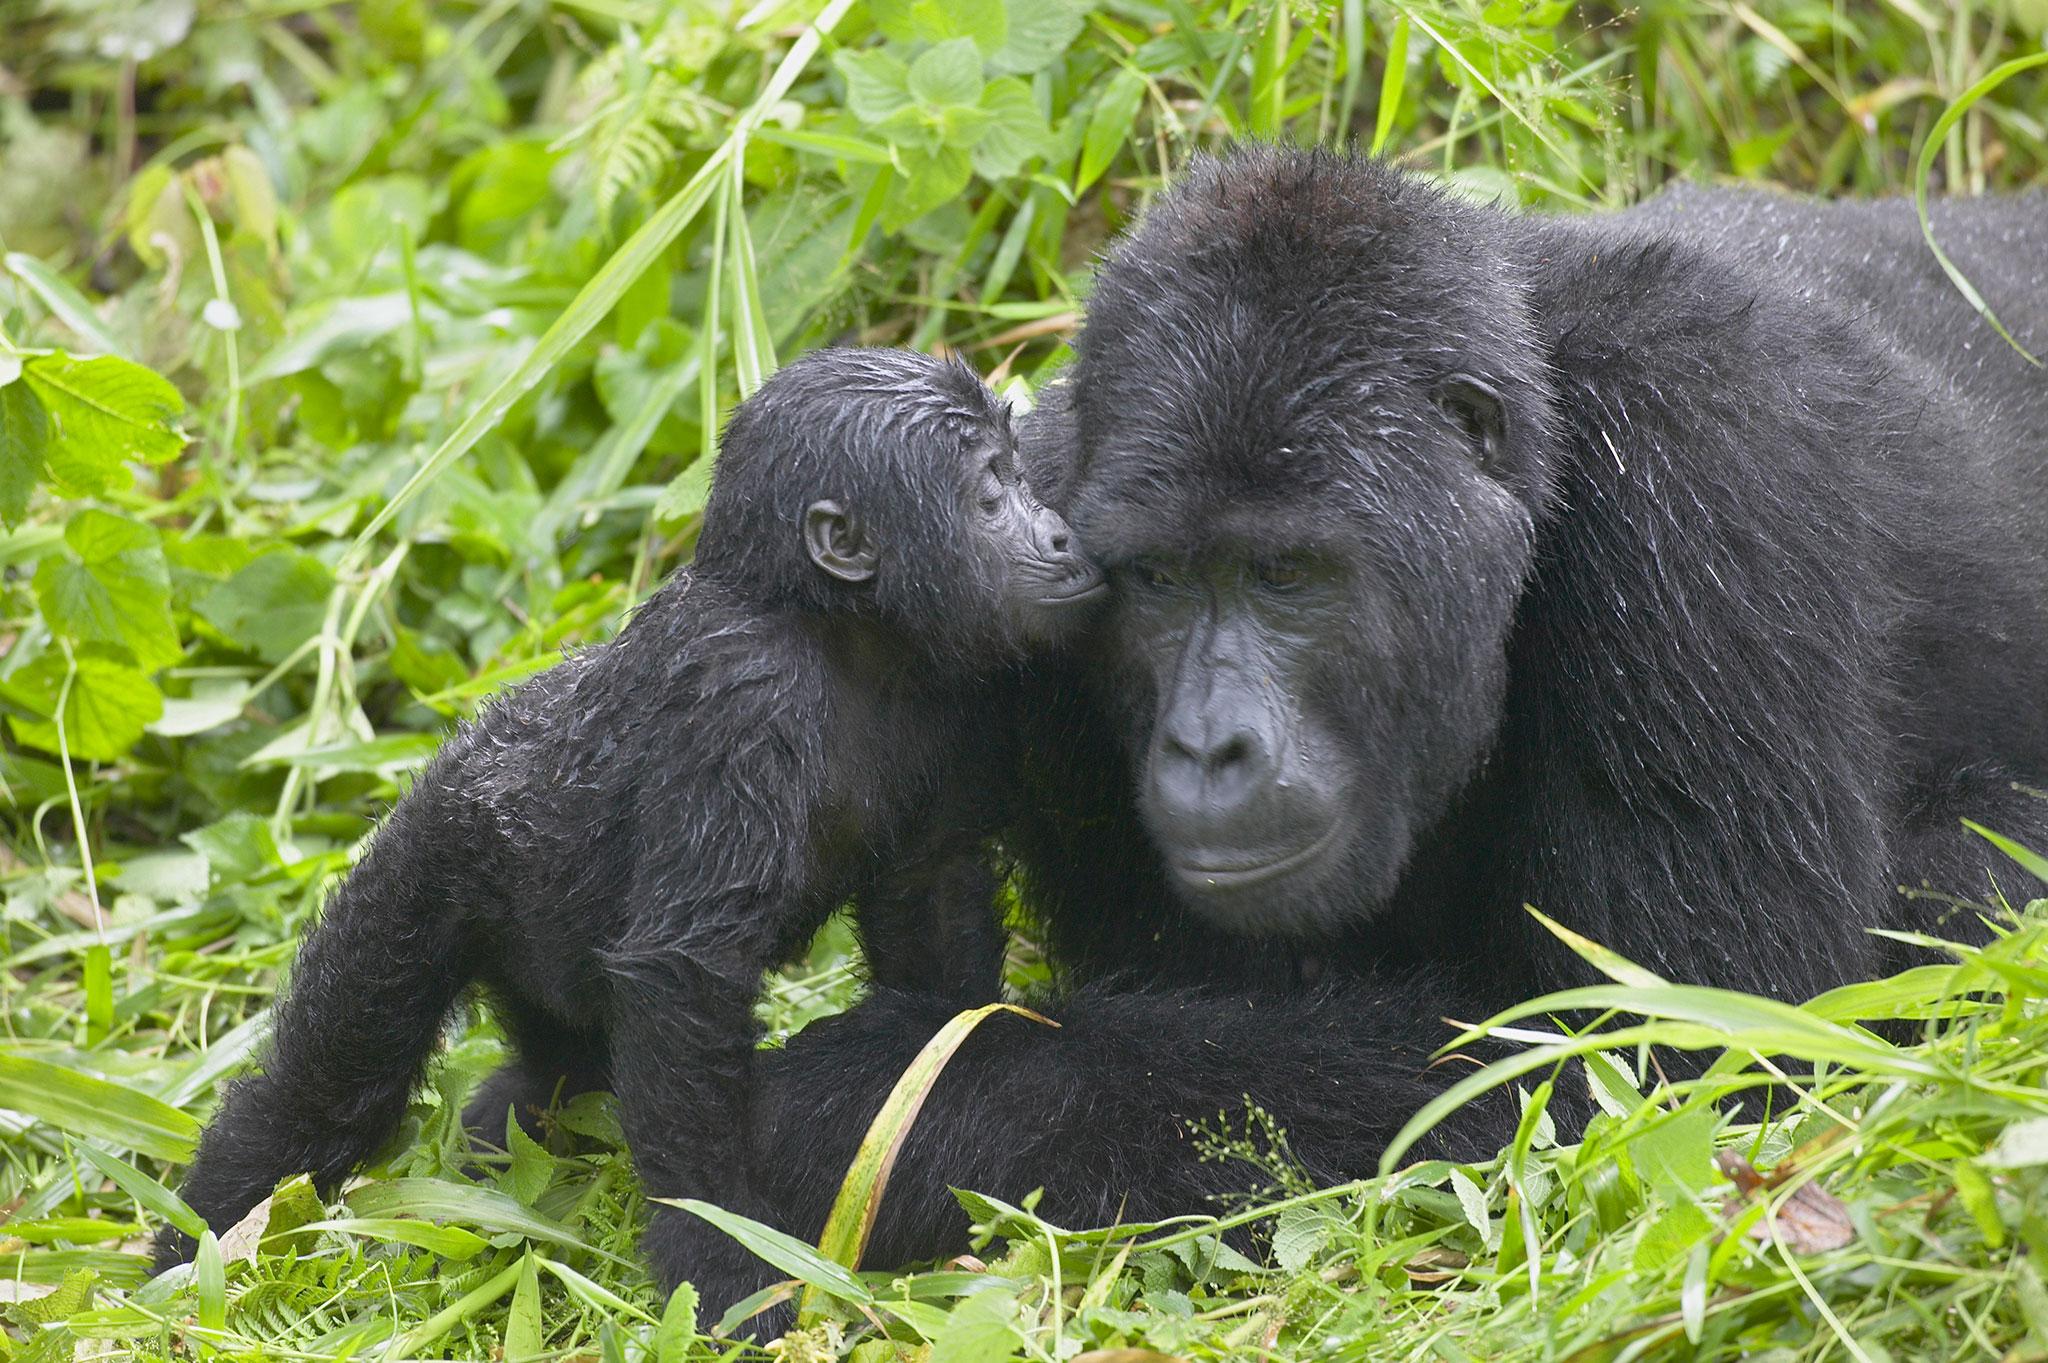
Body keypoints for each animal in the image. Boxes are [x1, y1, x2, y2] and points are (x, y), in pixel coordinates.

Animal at [157, 345, 1105, 1309]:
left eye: (1021, 474)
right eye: (990, 494)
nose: (1060, 536)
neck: (833, 626)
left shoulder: (953, 699)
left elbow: (931, 902)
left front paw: (947, 1072)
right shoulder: (741, 700)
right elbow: (685, 975)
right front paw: (719, 1248)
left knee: (555, 1069)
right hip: (426, 863)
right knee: (330, 1083)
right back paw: (199, 1247)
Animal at [753, 151, 2048, 1277]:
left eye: (1285, 575)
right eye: (1156, 581)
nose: (1206, 746)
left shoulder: (1703, 450)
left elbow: (1670, 1055)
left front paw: (871, 1101)